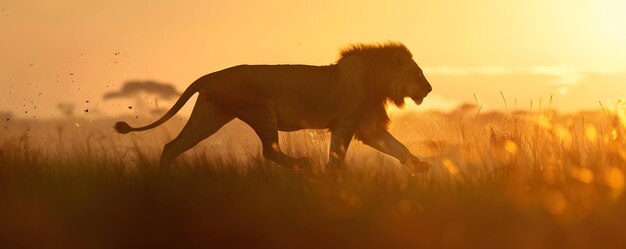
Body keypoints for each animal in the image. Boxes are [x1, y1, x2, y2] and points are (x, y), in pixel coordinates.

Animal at [113, 41, 428, 173]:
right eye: (417, 73)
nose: (430, 89)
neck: (379, 81)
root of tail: (212, 75)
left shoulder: (367, 126)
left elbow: (397, 146)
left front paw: (420, 165)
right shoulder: (346, 122)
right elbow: (337, 158)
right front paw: (331, 177)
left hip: (210, 115)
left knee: (172, 147)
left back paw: (163, 181)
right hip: (262, 110)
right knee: (269, 151)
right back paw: (302, 164)